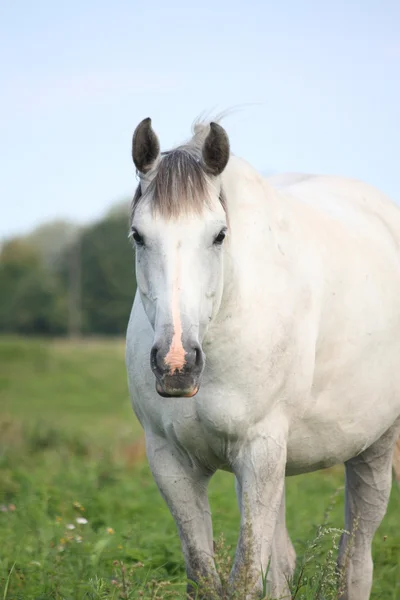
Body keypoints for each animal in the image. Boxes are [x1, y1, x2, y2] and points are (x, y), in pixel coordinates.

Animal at [126, 115, 400, 596]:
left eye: (219, 235)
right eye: (139, 235)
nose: (177, 364)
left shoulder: (260, 451)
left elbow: (244, 581)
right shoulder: (170, 461)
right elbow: (207, 578)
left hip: (373, 446)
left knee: (355, 562)